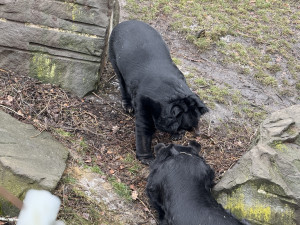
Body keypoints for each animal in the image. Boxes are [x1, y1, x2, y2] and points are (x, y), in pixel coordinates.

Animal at [108, 20, 209, 165]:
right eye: (186, 126)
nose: (197, 133)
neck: (173, 92)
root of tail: (126, 22)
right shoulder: (143, 102)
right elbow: (143, 128)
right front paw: (148, 159)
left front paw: (177, 136)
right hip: (113, 55)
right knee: (121, 81)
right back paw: (128, 107)